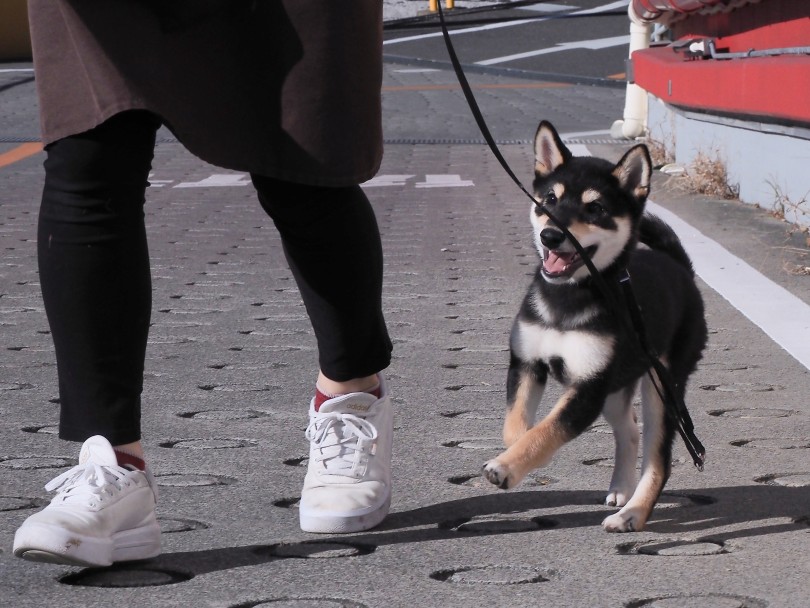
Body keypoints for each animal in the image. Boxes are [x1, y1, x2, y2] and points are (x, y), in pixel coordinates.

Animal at [482, 122, 704, 532]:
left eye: (596, 208)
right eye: (549, 200)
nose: (550, 236)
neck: (567, 300)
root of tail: (680, 267)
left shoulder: (588, 388)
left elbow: (546, 430)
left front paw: (506, 466)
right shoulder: (526, 365)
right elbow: (519, 427)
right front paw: (515, 452)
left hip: (662, 387)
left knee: (658, 458)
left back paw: (632, 513)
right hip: (619, 385)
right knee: (629, 429)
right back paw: (621, 490)